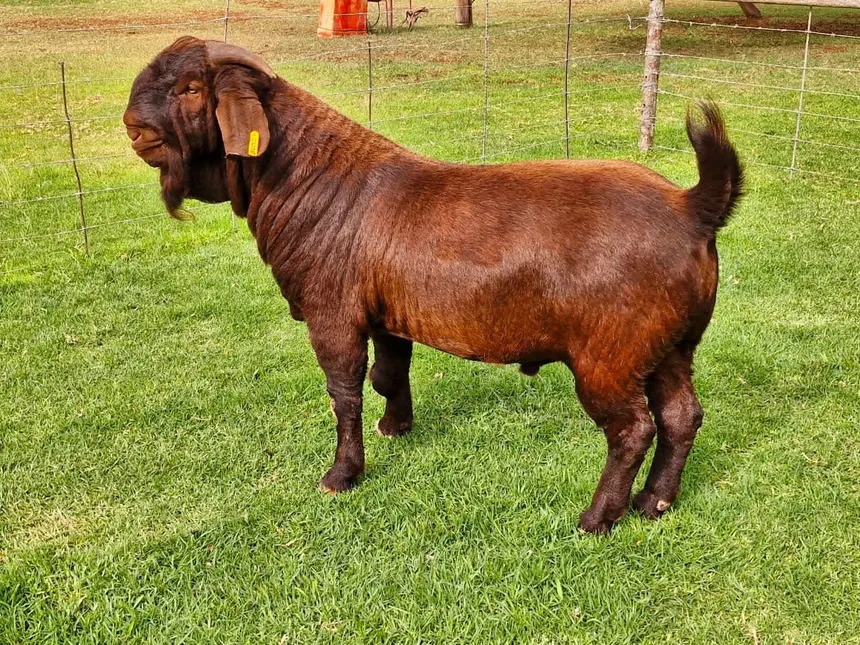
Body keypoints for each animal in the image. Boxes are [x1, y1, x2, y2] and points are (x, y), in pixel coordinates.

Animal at [124, 37, 743, 534]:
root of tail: (691, 207)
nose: (134, 126)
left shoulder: (332, 312)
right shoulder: (385, 315)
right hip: (669, 346)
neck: (310, 178)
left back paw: (598, 517)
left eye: (190, 87)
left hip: (610, 354)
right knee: (681, 415)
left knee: (632, 429)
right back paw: (655, 502)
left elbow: (344, 391)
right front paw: (397, 427)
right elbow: (387, 374)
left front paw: (342, 474)